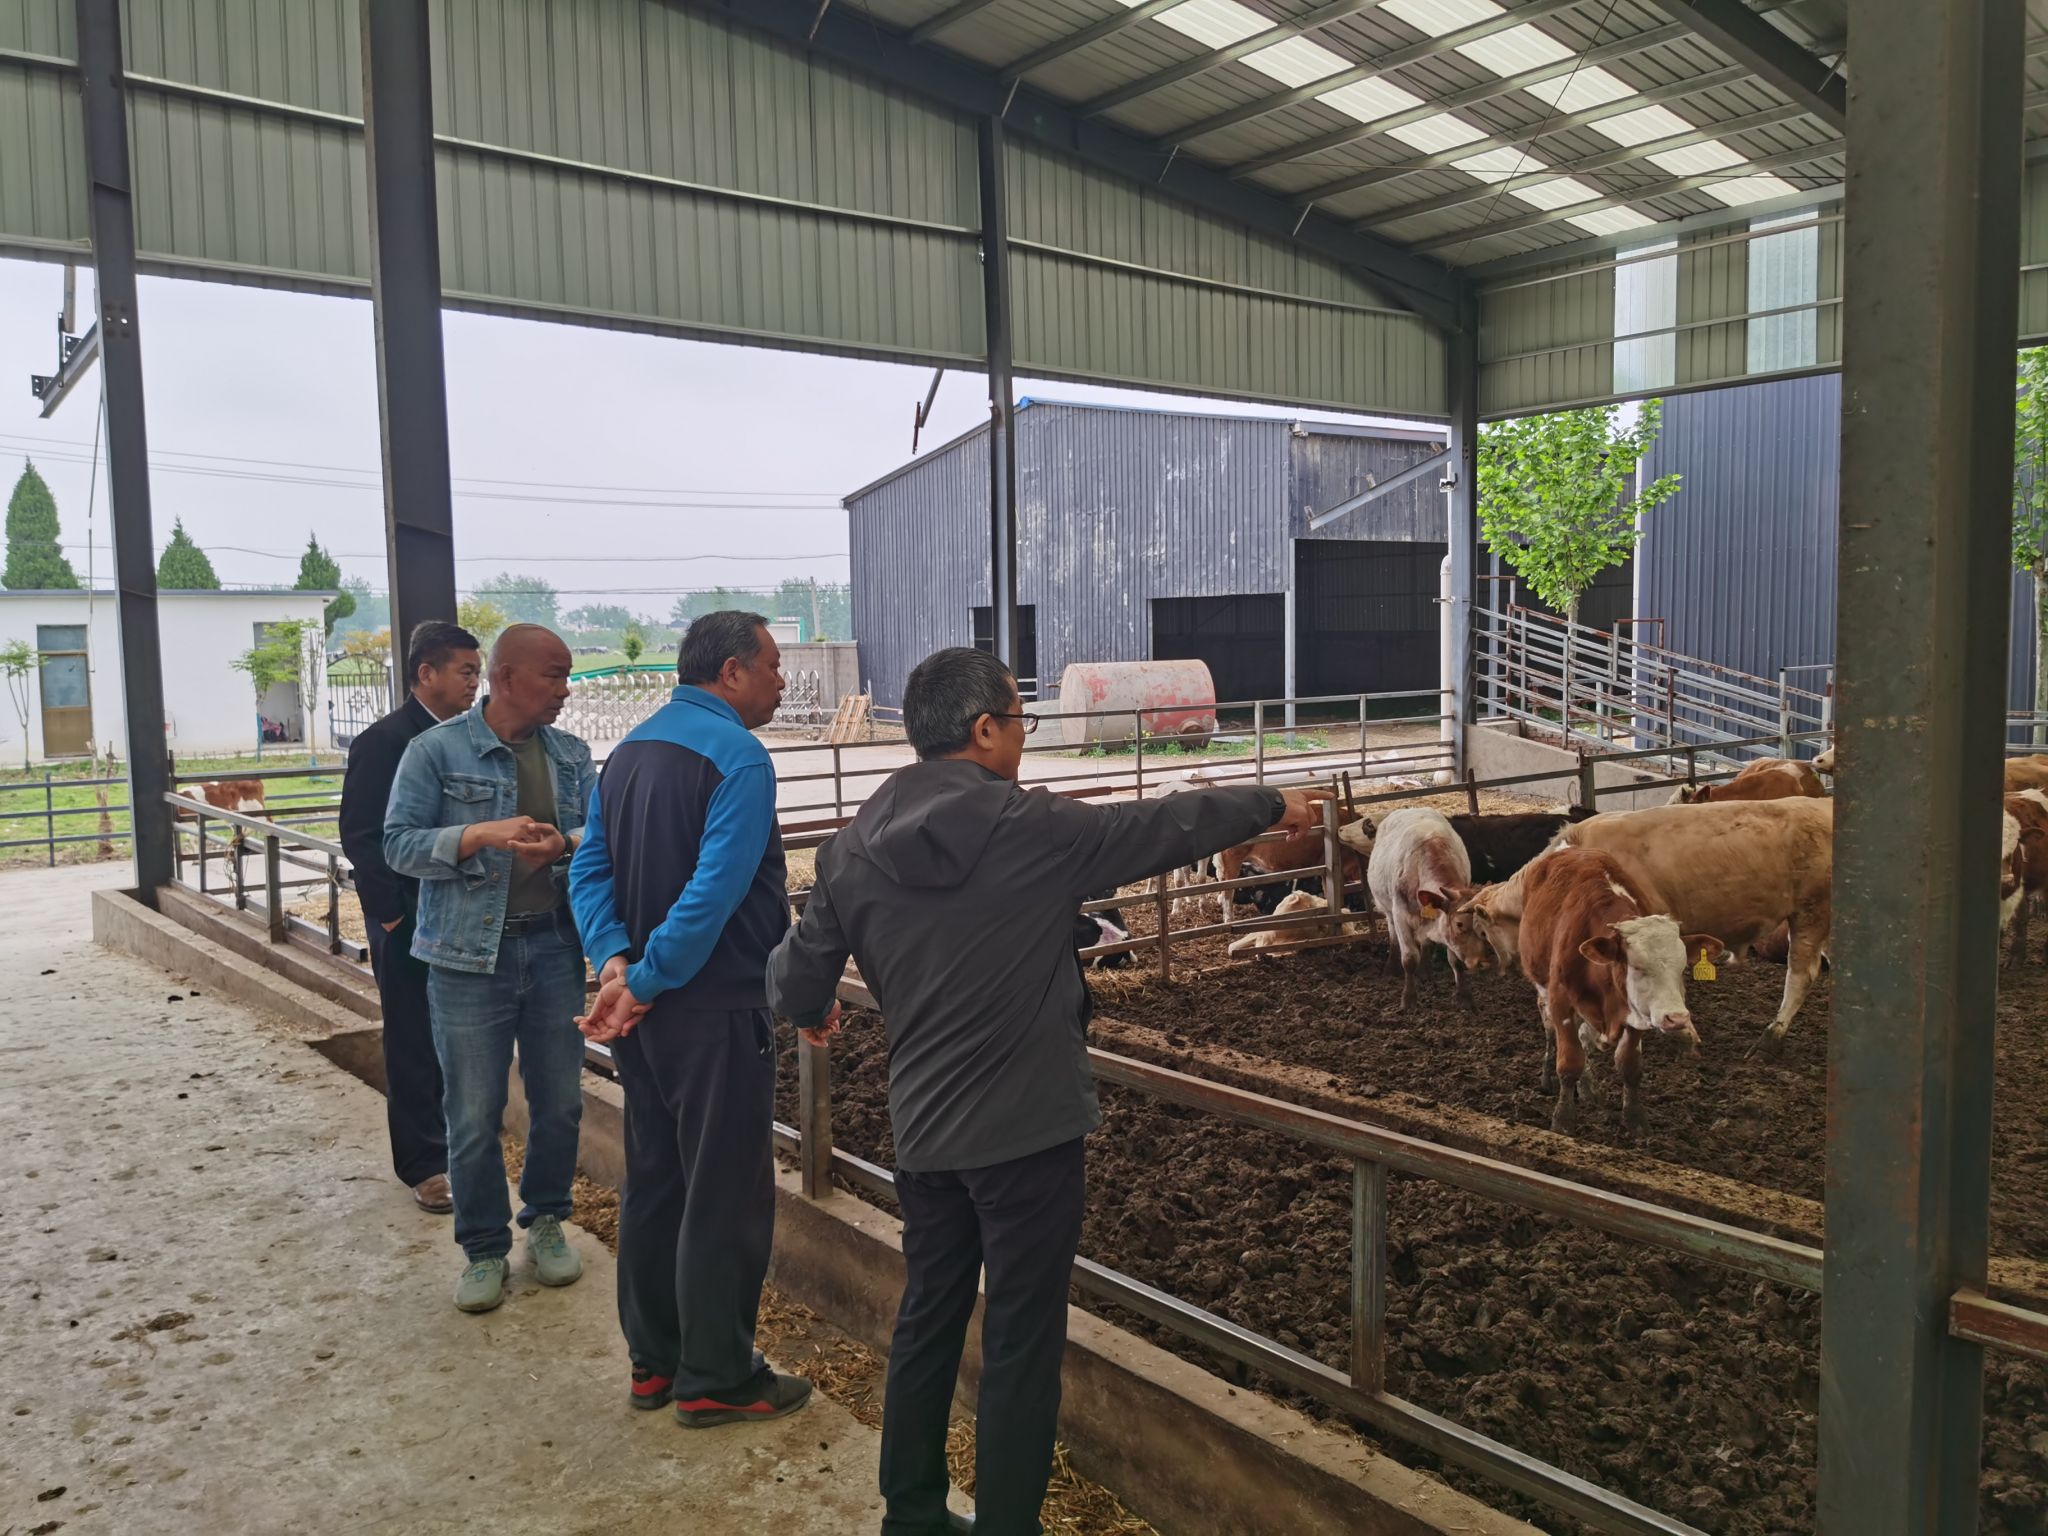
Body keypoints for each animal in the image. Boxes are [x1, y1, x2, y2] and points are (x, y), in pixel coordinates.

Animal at [1362, 807, 1481, 1009]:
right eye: (1458, 924)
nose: (1477, 962)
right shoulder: (1400, 915)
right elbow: (1409, 959)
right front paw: (1408, 999)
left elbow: (1454, 961)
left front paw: (1464, 996)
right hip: (1388, 910)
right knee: (1393, 936)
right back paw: (1391, 968)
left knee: (1425, 942)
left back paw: (1425, 971)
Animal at [1515, 846, 1724, 1134]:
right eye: (1637, 966)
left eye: (1683, 967)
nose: (1677, 1018)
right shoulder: (1562, 1004)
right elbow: (1569, 1062)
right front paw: (1563, 1120)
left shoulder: (1634, 1011)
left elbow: (1629, 1065)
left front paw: (1635, 1119)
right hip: (1542, 988)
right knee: (1550, 1030)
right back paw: (1549, 1078)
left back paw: (1589, 1090)